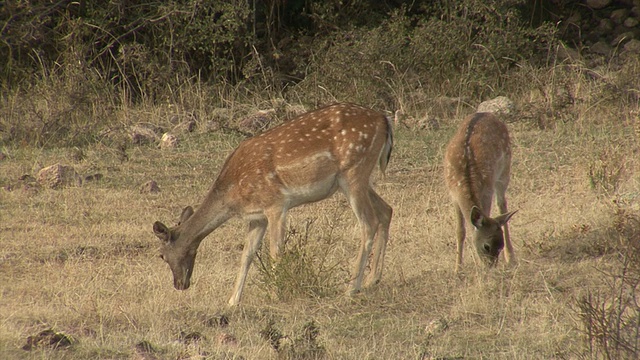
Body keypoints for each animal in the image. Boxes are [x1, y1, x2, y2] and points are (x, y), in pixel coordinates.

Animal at [152, 102, 392, 306]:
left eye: (161, 255)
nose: (180, 285)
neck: (232, 196)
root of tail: (384, 120)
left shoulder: (276, 204)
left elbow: (275, 252)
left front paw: (276, 294)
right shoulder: (256, 217)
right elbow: (246, 256)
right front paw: (232, 302)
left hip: (354, 171)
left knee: (368, 222)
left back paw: (351, 289)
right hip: (357, 179)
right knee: (387, 210)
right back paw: (372, 280)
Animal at [442, 111, 516, 272]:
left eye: (500, 246)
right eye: (486, 246)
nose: (490, 267)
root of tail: (486, 113)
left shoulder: (487, 190)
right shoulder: (453, 195)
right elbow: (460, 231)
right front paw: (457, 269)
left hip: (505, 170)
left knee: (502, 204)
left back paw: (511, 258)